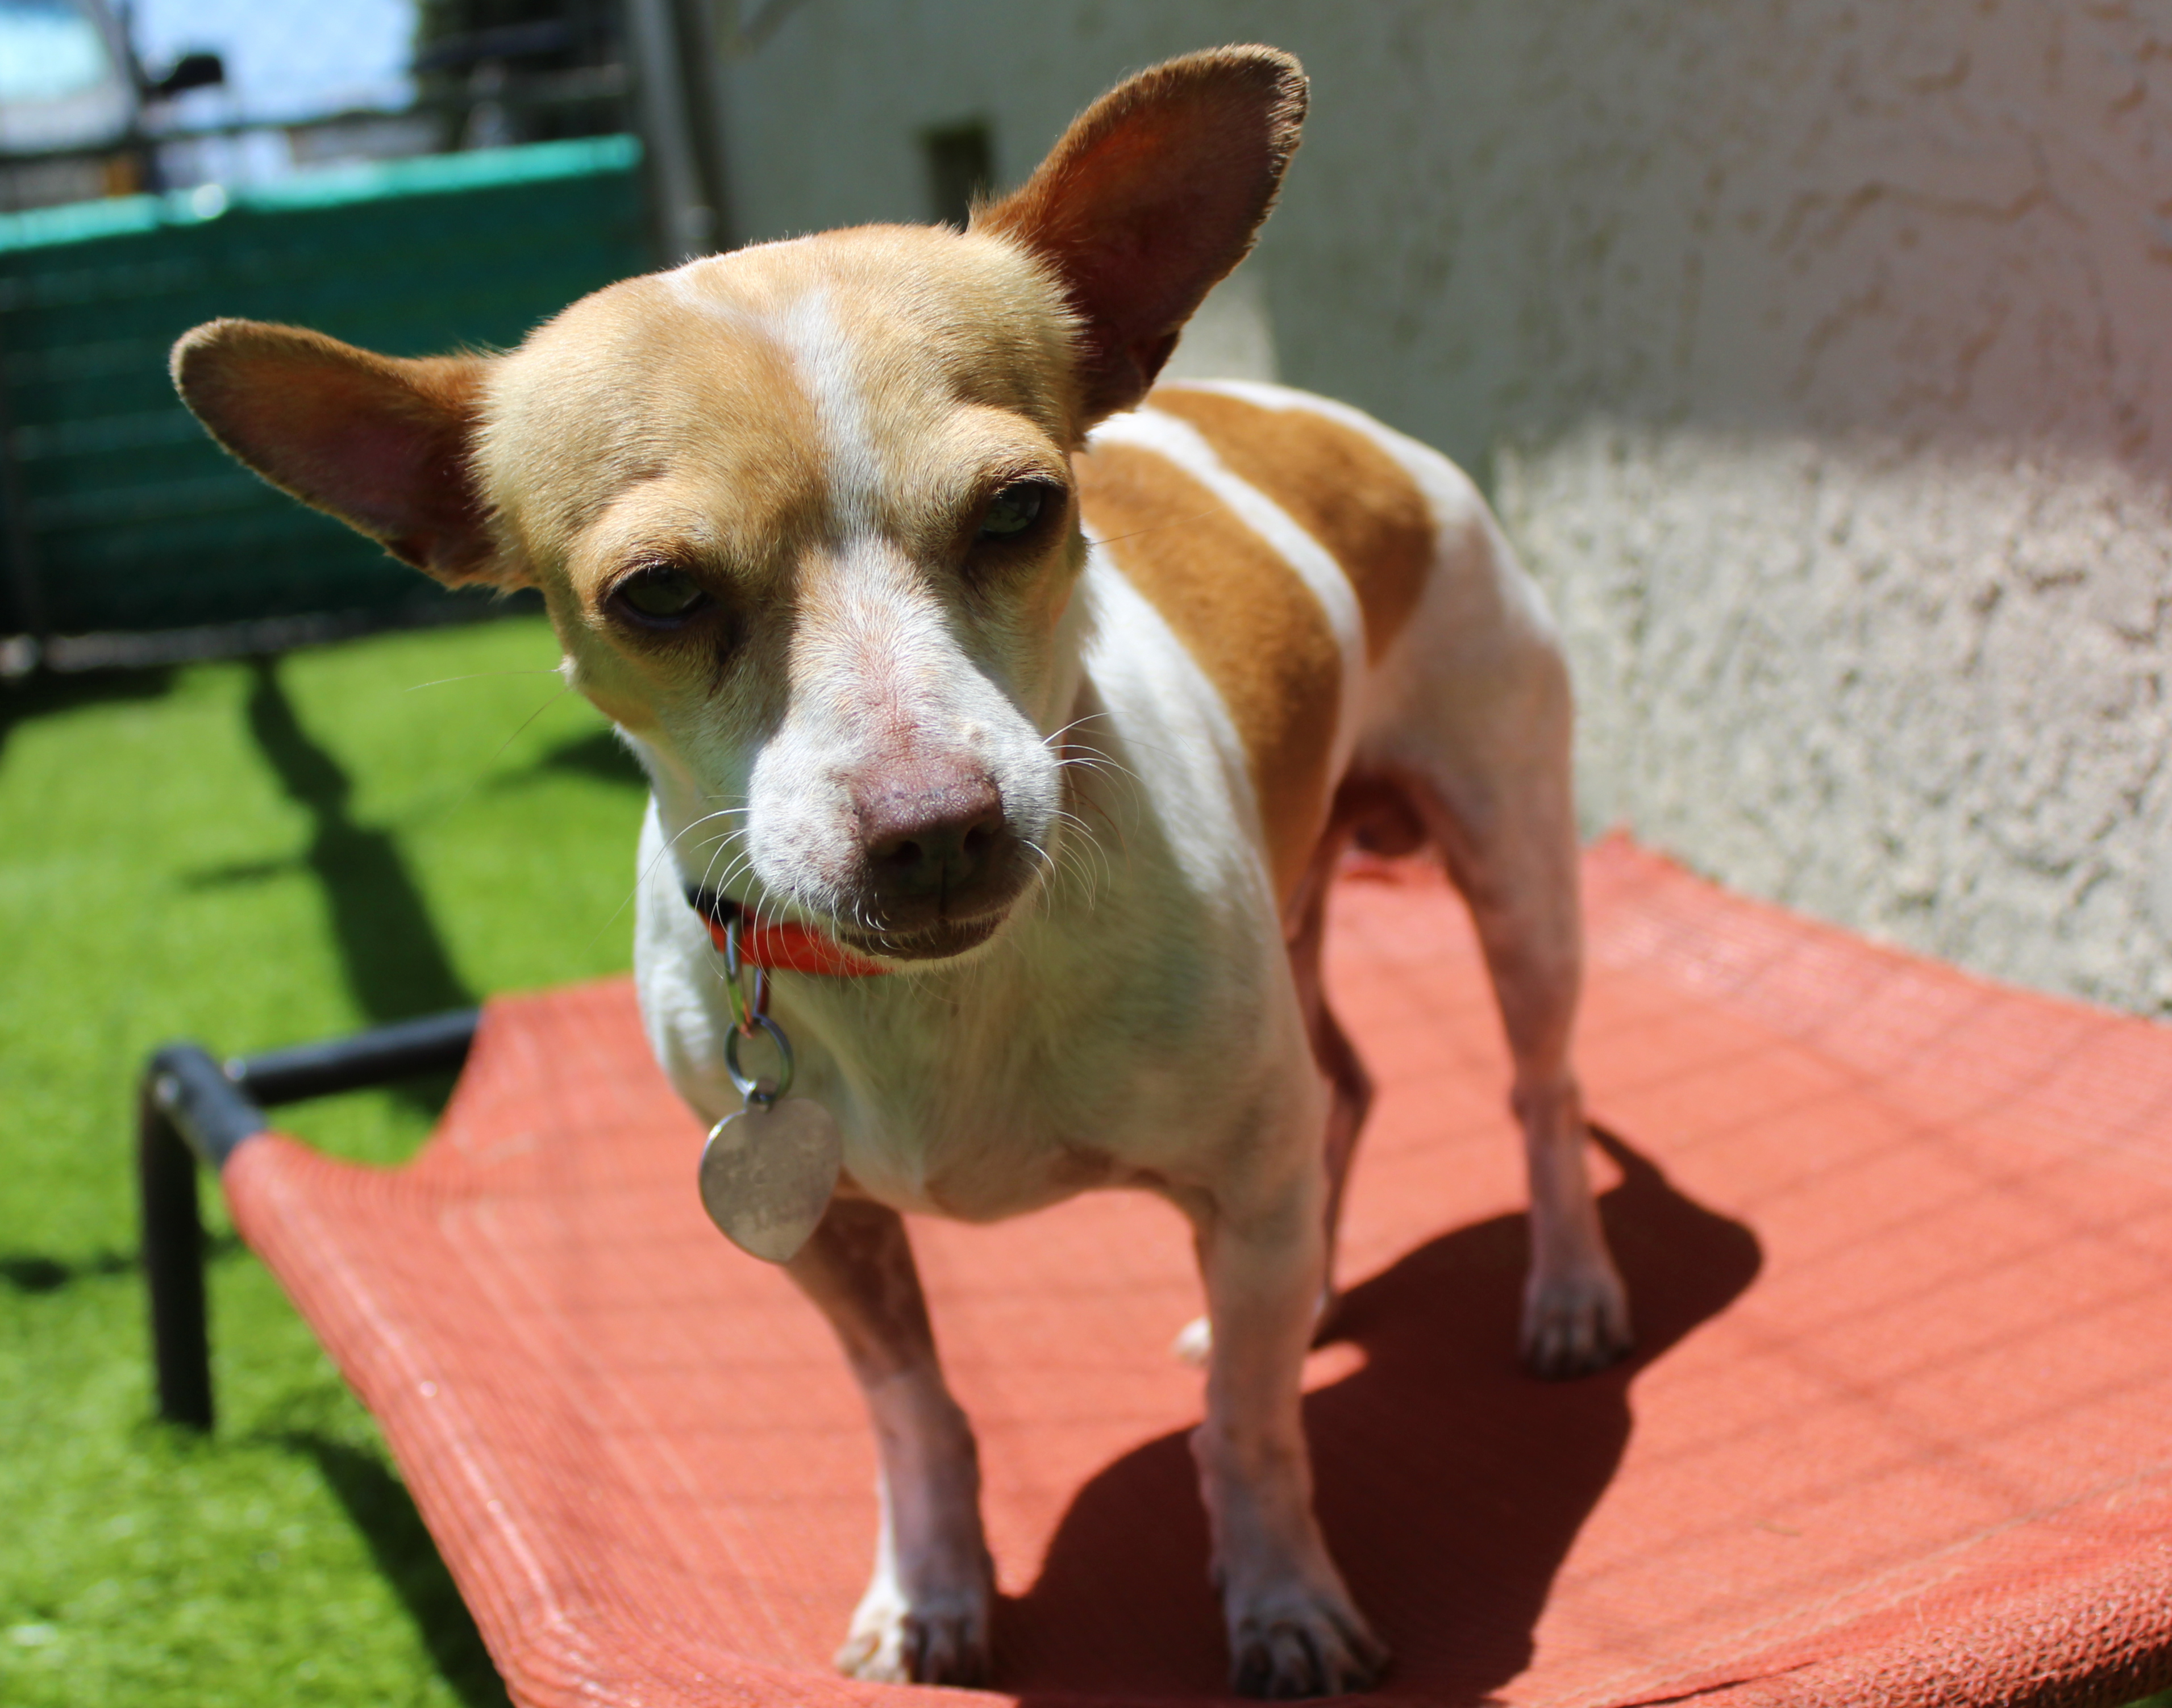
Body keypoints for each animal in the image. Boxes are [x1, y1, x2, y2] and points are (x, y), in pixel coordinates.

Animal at [169, 47, 1633, 1695]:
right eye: (655, 593)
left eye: (1024, 509)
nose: (934, 824)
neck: (923, 996)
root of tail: (1308, 412)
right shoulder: (829, 1241)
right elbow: (914, 1411)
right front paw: (931, 1584)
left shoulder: (1244, 1172)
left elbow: (1250, 1434)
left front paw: (1279, 1597)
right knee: (1353, 1096)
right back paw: (1313, 1293)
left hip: (1512, 870)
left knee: (1537, 1083)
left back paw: (1566, 1292)